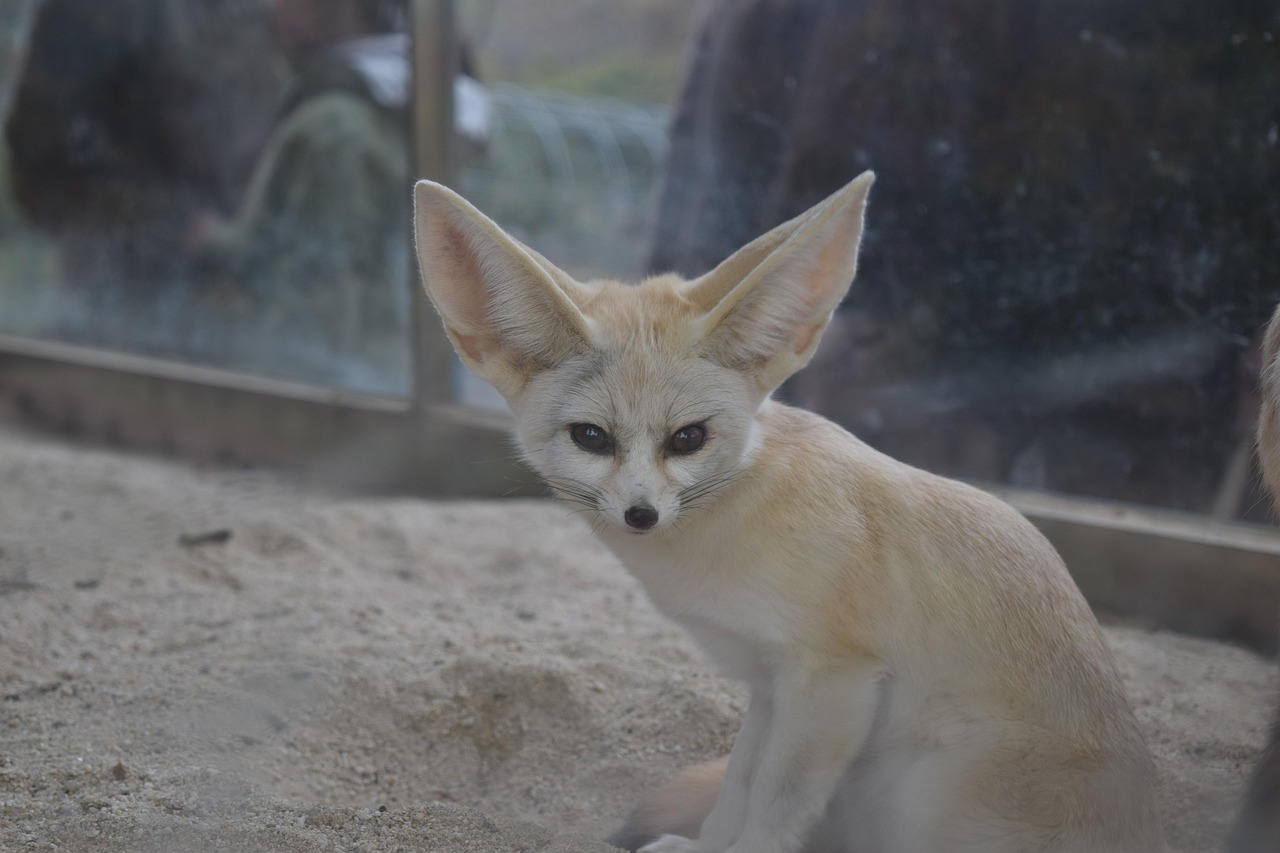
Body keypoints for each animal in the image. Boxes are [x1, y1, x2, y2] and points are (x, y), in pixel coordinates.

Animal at [412, 172, 1166, 853]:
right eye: (591, 437)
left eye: (687, 438)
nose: (641, 514)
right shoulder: (770, 683)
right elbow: (738, 788)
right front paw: (704, 849)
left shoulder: (833, 681)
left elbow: (776, 803)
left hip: (924, 794)